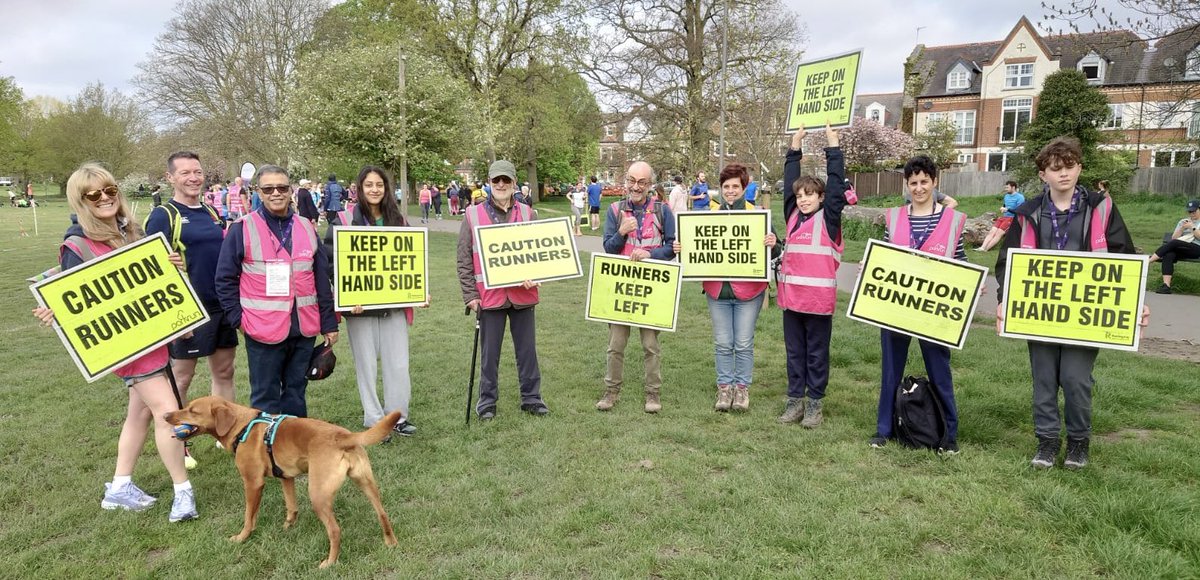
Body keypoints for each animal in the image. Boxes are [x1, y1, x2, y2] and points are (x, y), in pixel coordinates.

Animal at [164, 396, 403, 569]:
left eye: (193, 410)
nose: (166, 414)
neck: (242, 426)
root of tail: (343, 436)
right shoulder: (286, 478)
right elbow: (291, 506)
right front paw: (288, 526)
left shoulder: (252, 483)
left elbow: (248, 516)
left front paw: (242, 537)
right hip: (367, 484)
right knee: (382, 514)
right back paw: (391, 542)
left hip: (318, 496)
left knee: (335, 530)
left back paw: (330, 562)